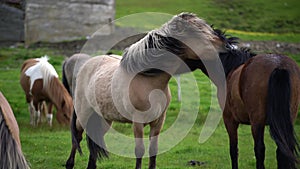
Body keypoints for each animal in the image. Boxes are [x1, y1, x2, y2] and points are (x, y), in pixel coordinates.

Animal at [64, 12, 226, 168]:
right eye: (197, 33)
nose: (226, 45)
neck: (148, 80)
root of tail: (85, 65)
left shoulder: (158, 121)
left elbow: (153, 150)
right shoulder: (138, 122)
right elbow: (139, 150)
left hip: (104, 118)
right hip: (84, 114)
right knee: (77, 135)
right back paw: (69, 163)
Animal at [190, 29, 300, 168]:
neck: (230, 69)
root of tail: (279, 65)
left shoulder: (229, 120)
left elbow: (233, 150)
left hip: (257, 122)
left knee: (260, 149)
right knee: (282, 150)